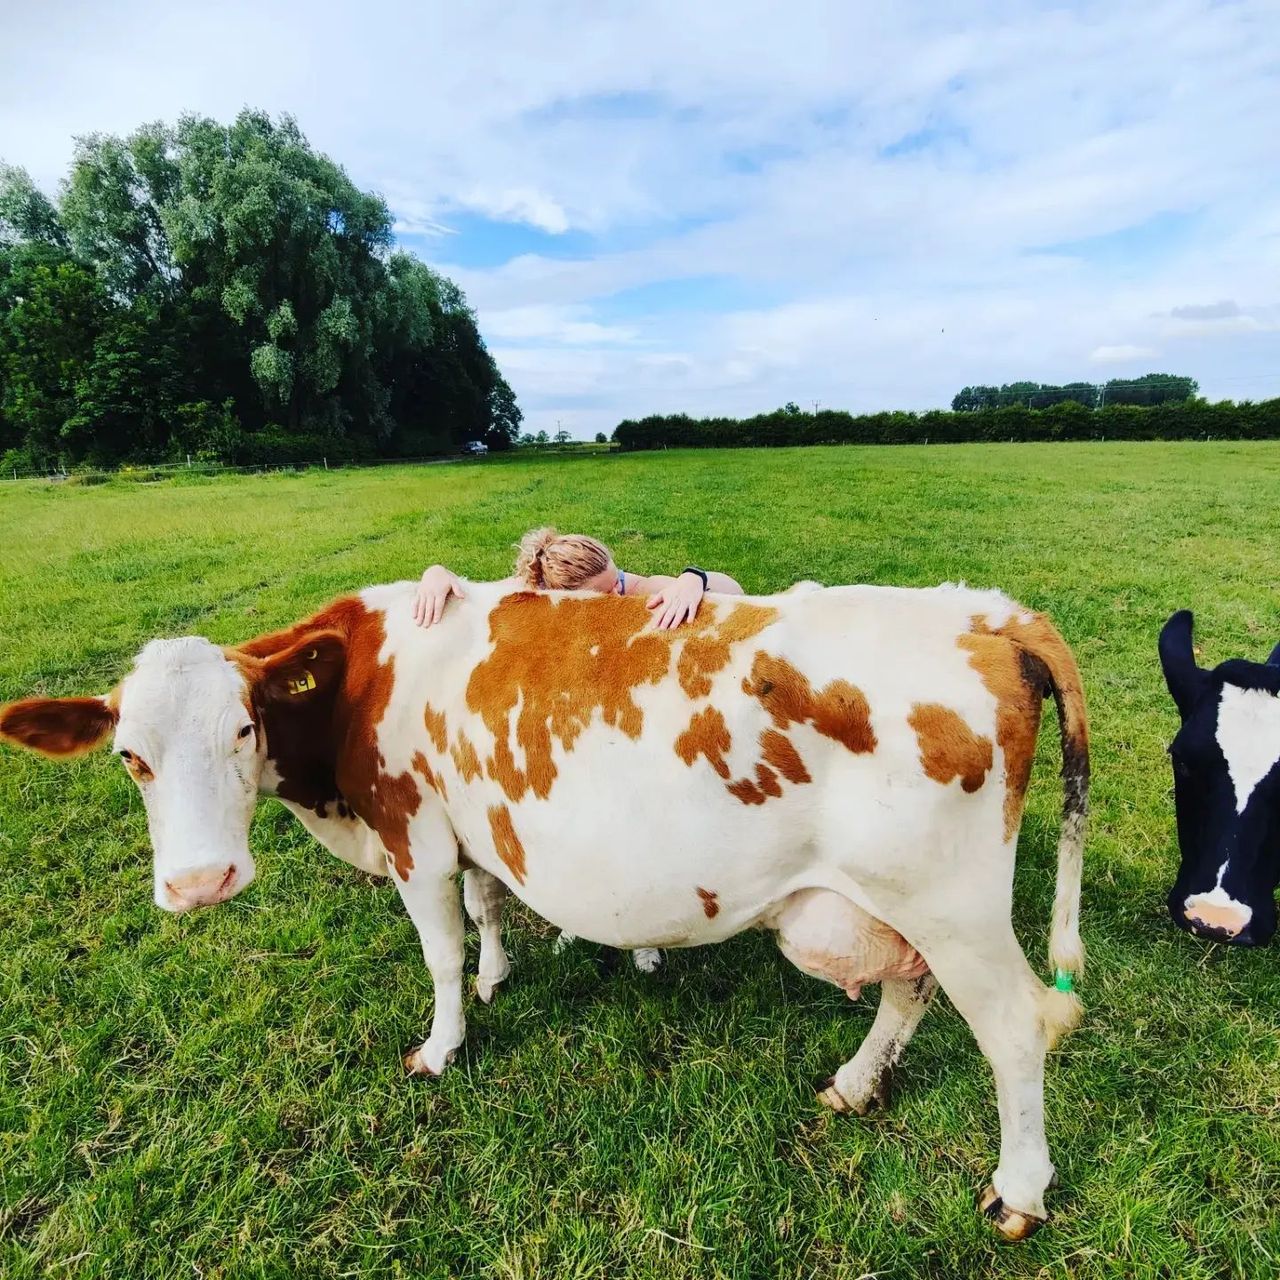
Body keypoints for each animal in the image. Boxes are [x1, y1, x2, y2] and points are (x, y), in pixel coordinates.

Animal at [0, 580, 1089, 1239]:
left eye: (241, 727)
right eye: (129, 756)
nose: (201, 882)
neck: (362, 672)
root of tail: (988, 612)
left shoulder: (414, 830)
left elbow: (437, 952)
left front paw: (443, 1043)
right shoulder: (468, 828)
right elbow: (486, 906)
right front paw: (498, 972)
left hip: (952, 904)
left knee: (1016, 1027)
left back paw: (1018, 1192)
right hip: (899, 908)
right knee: (907, 988)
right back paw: (857, 1083)